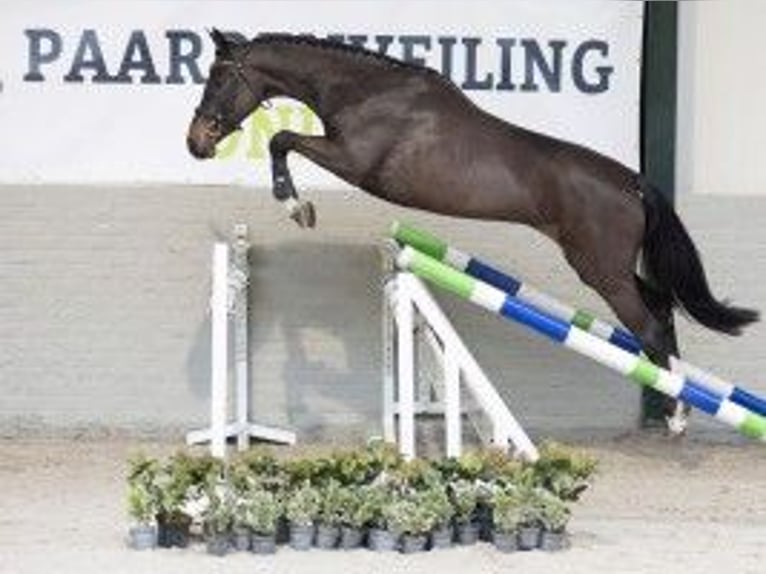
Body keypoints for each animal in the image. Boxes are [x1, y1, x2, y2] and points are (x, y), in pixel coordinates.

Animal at [189, 29, 760, 430]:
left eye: (217, 79)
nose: (196, 142)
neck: (364, 91)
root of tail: (635, 183)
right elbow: (283, 140)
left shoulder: (353, 162)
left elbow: (281, 140)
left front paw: (296, 206)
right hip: (608, 267)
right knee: (660, 309)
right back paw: (675, 405)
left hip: (601, 270)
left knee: (650, 327)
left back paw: (677, 415)